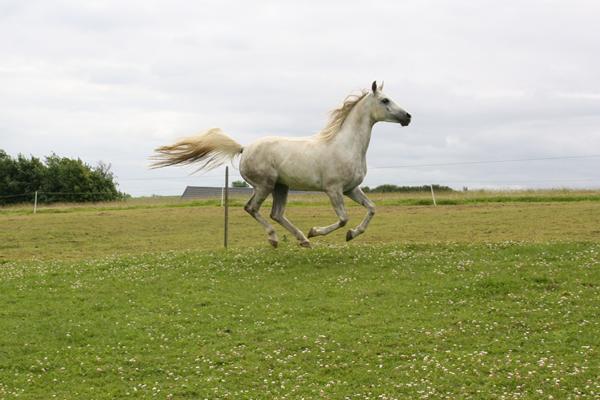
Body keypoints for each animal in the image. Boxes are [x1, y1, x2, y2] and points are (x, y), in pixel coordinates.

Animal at [152, 82, 410, 247]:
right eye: (385, 100)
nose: (408, 117)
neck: (344, 144)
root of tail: (244, 148)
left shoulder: (351, 189)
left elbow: (372, 209)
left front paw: (351, 234)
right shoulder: (334, 189)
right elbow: (343, 218)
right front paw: (317, 231)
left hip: (280, 187)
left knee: (276, 213)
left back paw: (303, 240)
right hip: (265, 185)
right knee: (252, 208)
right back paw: (277, 239)